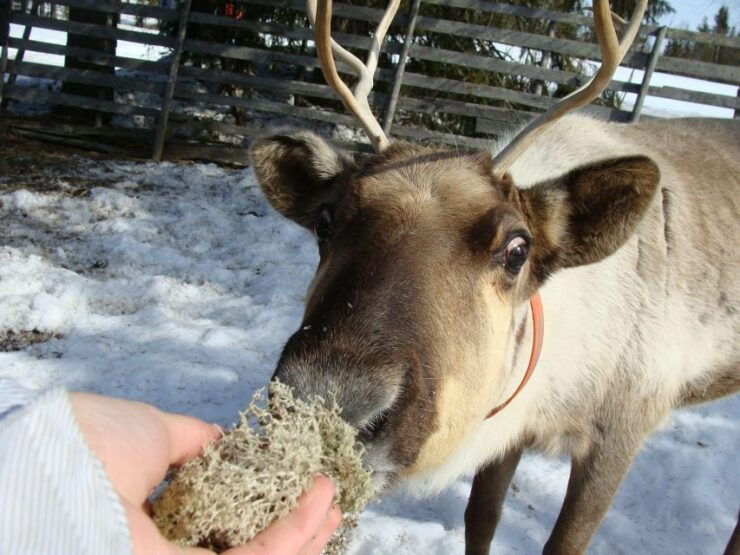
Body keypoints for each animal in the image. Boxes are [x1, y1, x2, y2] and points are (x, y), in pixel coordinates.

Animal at [248, 1, 740, 553]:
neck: (556, 389)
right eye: (325, 221)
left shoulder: (622, 430)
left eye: (517, 249)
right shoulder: (510, 430)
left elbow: (563, 543)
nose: (328, 400)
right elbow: (479, 519)